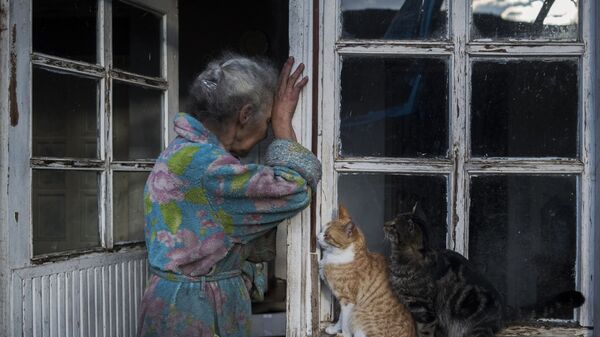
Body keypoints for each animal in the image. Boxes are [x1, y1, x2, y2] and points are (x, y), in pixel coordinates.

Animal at [318, 205, 418, 336]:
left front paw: (343, 334)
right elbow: (340, 319)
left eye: (327, 236)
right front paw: (334, 329)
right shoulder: (344, 301)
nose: (317, 236)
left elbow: (345, 321)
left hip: (359, 314)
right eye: (322, 230)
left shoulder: (347, 300)